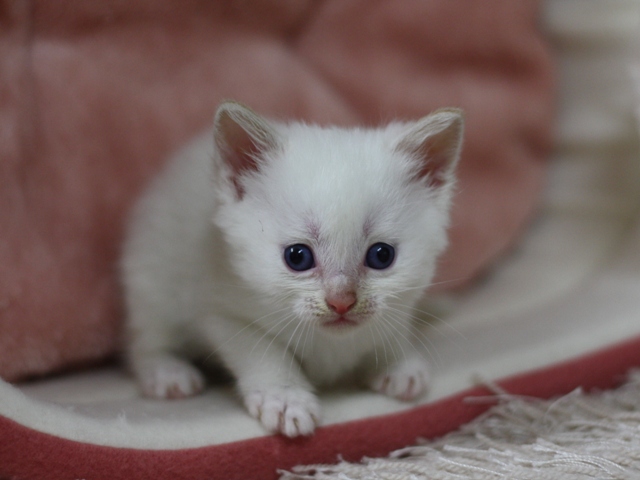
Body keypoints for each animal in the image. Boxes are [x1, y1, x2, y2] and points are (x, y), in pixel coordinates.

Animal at [122, 100, 464, 436]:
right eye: (297, 257)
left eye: (382, 256)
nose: (341, 301)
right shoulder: (222, 312)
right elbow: (265, 354)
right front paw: (285, 399)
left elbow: (391, 325)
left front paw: (398, 362)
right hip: (150, 280)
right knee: (145, 341)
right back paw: (165, 371)